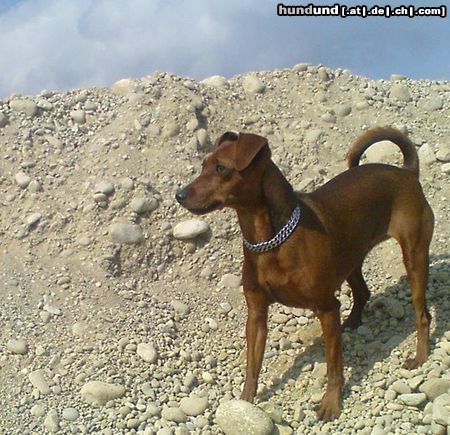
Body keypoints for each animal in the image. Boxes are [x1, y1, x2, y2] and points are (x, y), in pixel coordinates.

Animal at [175, 127, 432, 420]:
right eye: (203, 165)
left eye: (221, 168)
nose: (179, 195)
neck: (271, 240)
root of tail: (407, 172)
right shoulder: (256, 315)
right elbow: (252, 366)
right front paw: (245, 402)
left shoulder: (326, 308)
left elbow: (334, 365)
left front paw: (331, 403)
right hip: (350, 258)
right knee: (362, 292)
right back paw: (351, 323)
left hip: (414, 257)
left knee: (422, 314)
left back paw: (420, 356)